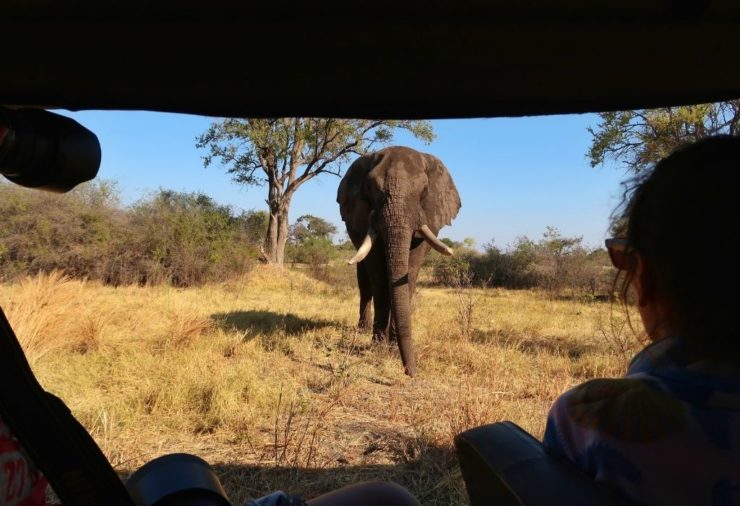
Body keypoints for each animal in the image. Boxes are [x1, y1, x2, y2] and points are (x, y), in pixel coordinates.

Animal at [336, 145, 462, 376]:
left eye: (424, 190)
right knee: (365, 283)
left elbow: (410, 270)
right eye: (371, 187)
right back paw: (362, 330)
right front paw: (378, 347)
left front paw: (392, 347)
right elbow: (377, 272)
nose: (411, 372)